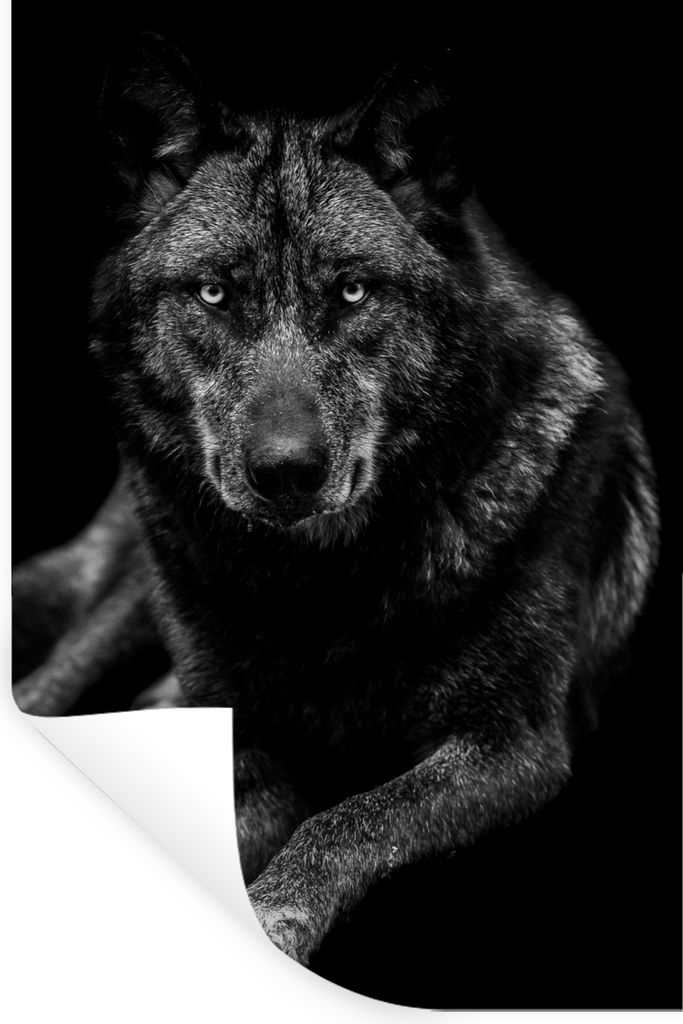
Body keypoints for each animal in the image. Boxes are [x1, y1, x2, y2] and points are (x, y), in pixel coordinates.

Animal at [12, 36, 659, 967]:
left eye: (352, 291)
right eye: (213, 293)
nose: (287, 471)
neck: (319, 590)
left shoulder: (513, 743)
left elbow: (350, 818)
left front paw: (276, 915)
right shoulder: (245, 739)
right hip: (134, 599)